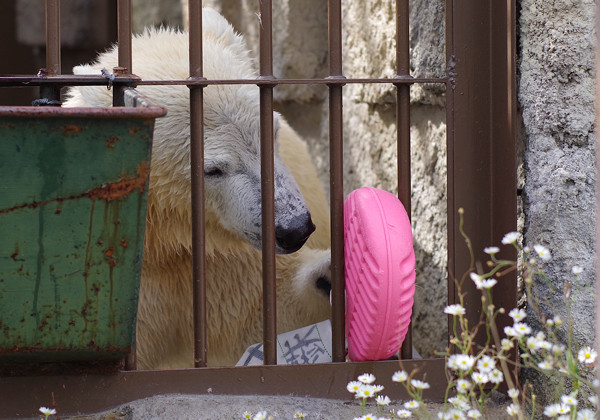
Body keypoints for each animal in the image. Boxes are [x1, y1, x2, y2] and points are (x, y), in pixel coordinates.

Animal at [65, 7, 332, 368]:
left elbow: (262, 307)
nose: (295, 229)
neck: (163, 234)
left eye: (272, 131)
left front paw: (332, 273)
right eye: (213, 169)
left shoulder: (212, 254)